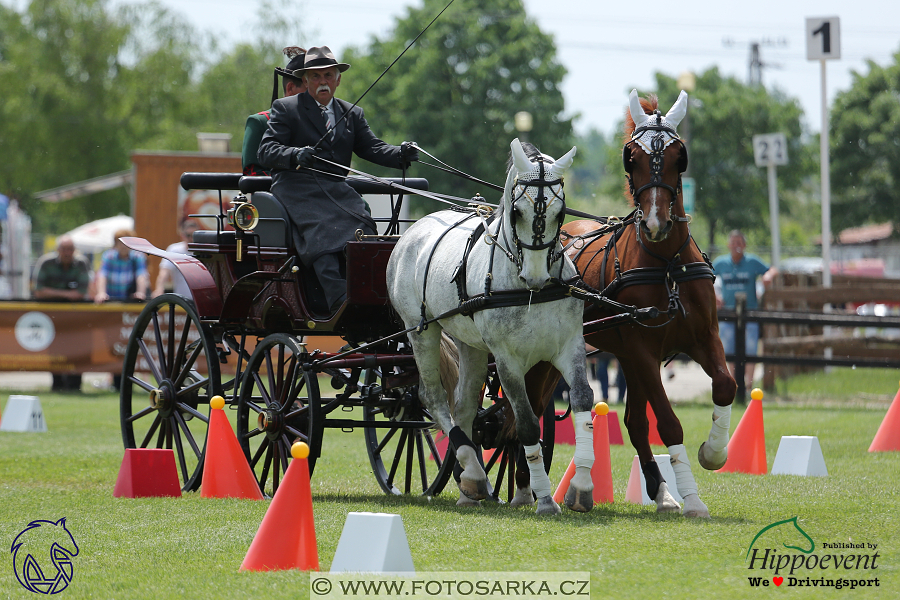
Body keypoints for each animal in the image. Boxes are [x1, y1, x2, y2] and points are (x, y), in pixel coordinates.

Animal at [384, 138, 592, 512]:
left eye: (560, 212)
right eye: (517, 211)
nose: (535, 277)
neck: (526, 290)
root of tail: (414, 230)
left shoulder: (570, 346)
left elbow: (584, 401)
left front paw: (580, 486)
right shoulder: (508, 360)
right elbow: (526, 424)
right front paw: (544, 499)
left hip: (470, 344)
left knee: (464, 404)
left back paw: (469, 481)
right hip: (420, 330)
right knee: (432, 396)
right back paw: (473, 473)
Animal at [532, 91, 736, 516]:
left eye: (679, 155)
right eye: (632, 158)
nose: (656, 223)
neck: (667, 264)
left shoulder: (701, 337)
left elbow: (726, 385)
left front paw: (713, 453)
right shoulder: (643, 350)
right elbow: (669, 423)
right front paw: (693, 498)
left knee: (630, 421)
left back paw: (657, 492)